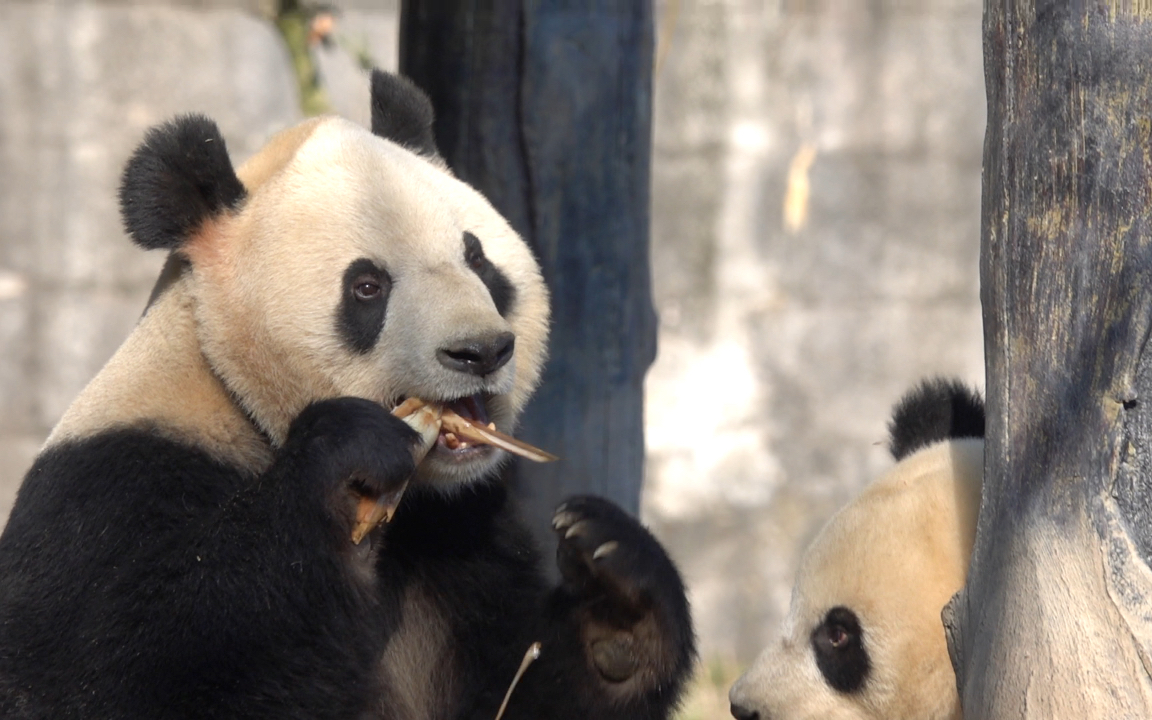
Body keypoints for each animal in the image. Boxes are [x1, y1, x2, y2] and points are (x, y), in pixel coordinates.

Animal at [0, 68, 691, 718]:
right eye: (367, 287)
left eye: (478, 259)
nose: (481, 351)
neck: (243, 401)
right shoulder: (111, 486)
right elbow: (97, 679)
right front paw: (347, 464)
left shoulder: (461, 529)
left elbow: (517, 686)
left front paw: (617, 589)